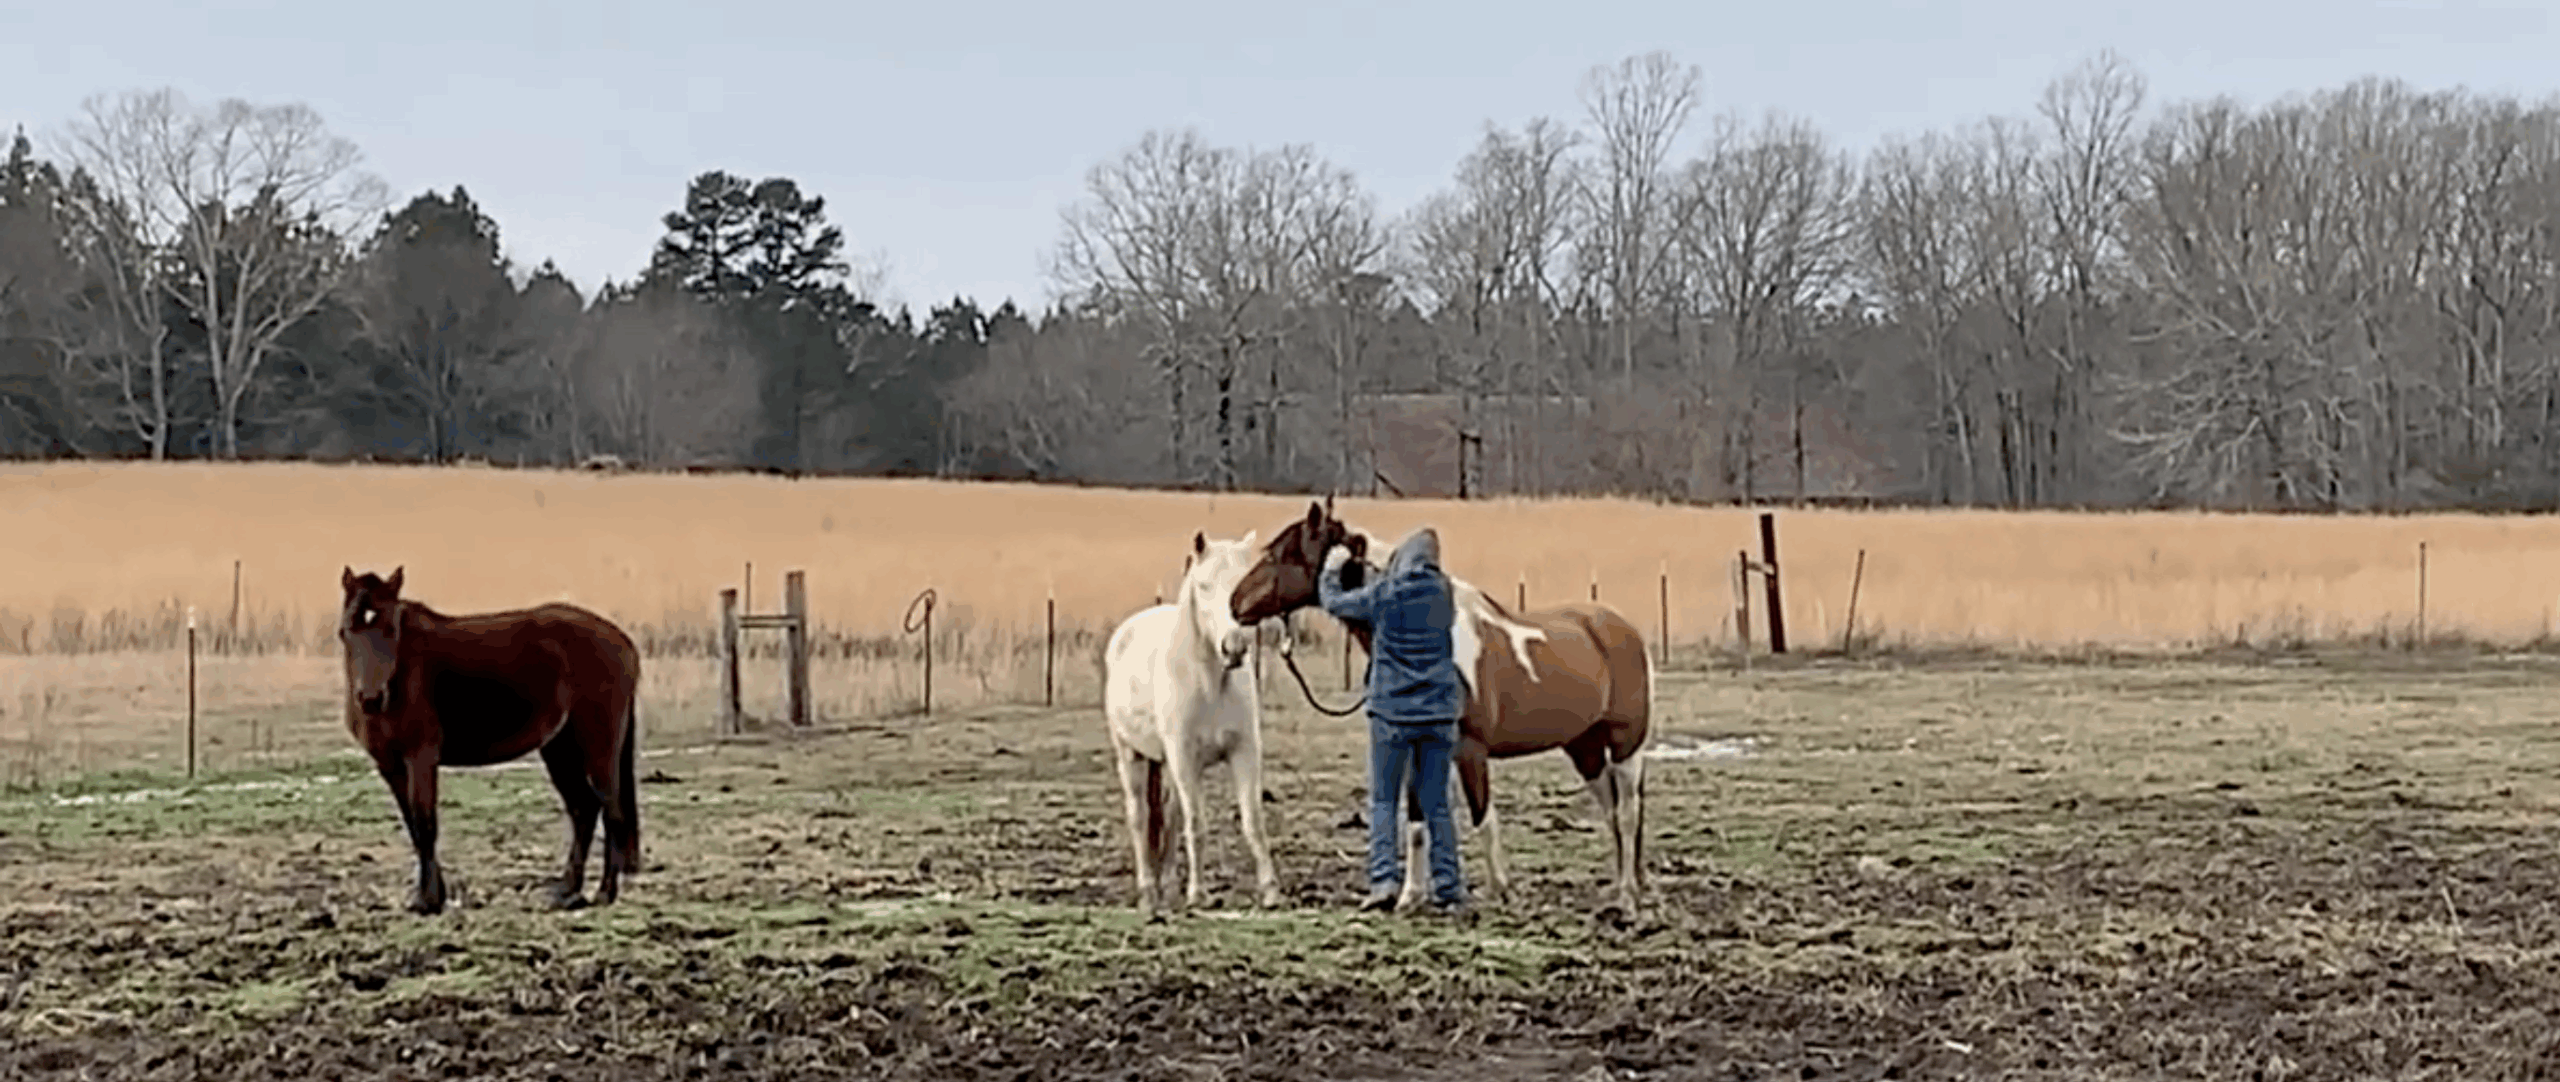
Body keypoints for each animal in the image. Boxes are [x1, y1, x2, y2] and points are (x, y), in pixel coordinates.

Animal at [337, 566, 646, 915]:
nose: (371, 698)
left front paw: (427, 901)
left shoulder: (420, 758)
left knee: (611, 811)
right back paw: (567, 891)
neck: (401, 676)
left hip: (598, 747)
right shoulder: (389, 765)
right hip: (560, 749)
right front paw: (435, 895)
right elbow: (413, 826)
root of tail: (623, 642)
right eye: (346, 631)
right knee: (584, 809)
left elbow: (425, 823)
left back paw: (605, 892)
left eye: (391, 629)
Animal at [1100, 530, 1283, 916]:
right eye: (1204, 585)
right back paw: (1148, 891)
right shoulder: (1185, 759)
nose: (1234, 647)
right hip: (1131, 756)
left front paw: (1271, 891)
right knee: (1140, 817)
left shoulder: (1244, 752)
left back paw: (1168, 887)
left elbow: (1252, 820)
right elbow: (1196, 824)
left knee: (1169, 817)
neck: (1209, 682)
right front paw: (1198, 893)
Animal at [1230, 499, 1654, 914]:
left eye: (1280, 555)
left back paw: (1627, 897)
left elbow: (1483, 817)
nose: (1235, 603)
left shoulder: (1470, 750)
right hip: (1584, 747)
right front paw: (1410, 896)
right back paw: (1623, 890)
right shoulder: (1419, 747)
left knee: (1628, 814)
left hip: (1624, 746)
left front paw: (1500, 892)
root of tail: (1622, 628)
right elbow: (1418, 820)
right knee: (1612, 811)